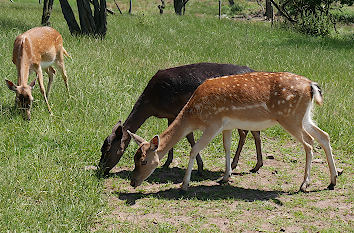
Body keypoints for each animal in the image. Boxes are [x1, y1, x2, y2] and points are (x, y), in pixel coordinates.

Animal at [97, 62, 262, 176]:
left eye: (107, 150)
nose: (100, 169)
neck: (152, 103)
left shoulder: (179, 110)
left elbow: (189, 137)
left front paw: (200, 168)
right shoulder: (170, 114)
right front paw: (166, 162)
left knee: (250, 132)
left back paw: (245, 165)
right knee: (249, 132)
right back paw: (248, 165)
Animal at [129, 72, 338, 192]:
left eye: (144, 161)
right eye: (134, 158)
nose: (133, 182)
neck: (193, 115)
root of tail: (311, 86)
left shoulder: (213, 123)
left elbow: (194, 149)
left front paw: (184, 185)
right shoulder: (226, 126)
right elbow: (227, 147)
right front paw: (225, 177)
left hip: (290, 117)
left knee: (309, 143)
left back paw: (304, 184)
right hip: (304, 116)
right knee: (324, 136)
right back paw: (332, 181)